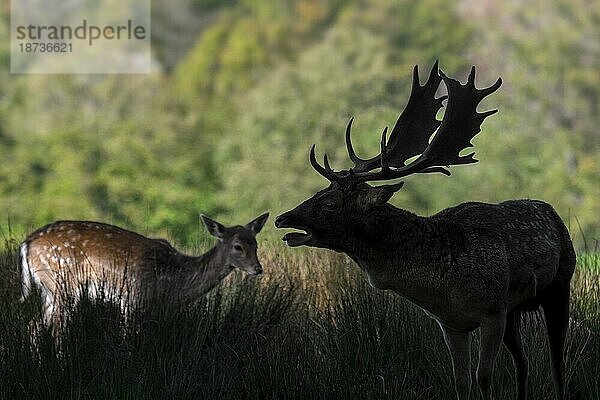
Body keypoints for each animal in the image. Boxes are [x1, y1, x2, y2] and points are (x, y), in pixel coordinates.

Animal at [21, 212, 268, 324]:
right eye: (237, 246)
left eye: (255, 244)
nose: (258, 269)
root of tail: (26, 244)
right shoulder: (133, 299)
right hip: (63, 284)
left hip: (49, 289)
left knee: (35, 323)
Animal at [274, 61, 576, 398]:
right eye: (317, 192)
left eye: (329, 203)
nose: (283, 218)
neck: (445, 286)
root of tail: (553, 212)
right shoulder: (453, 324)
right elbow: (461, 381)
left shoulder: (492, 311)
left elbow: (484, 377)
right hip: (515, 313)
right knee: (523, 362)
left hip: (559, 286)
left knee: (557, 361)